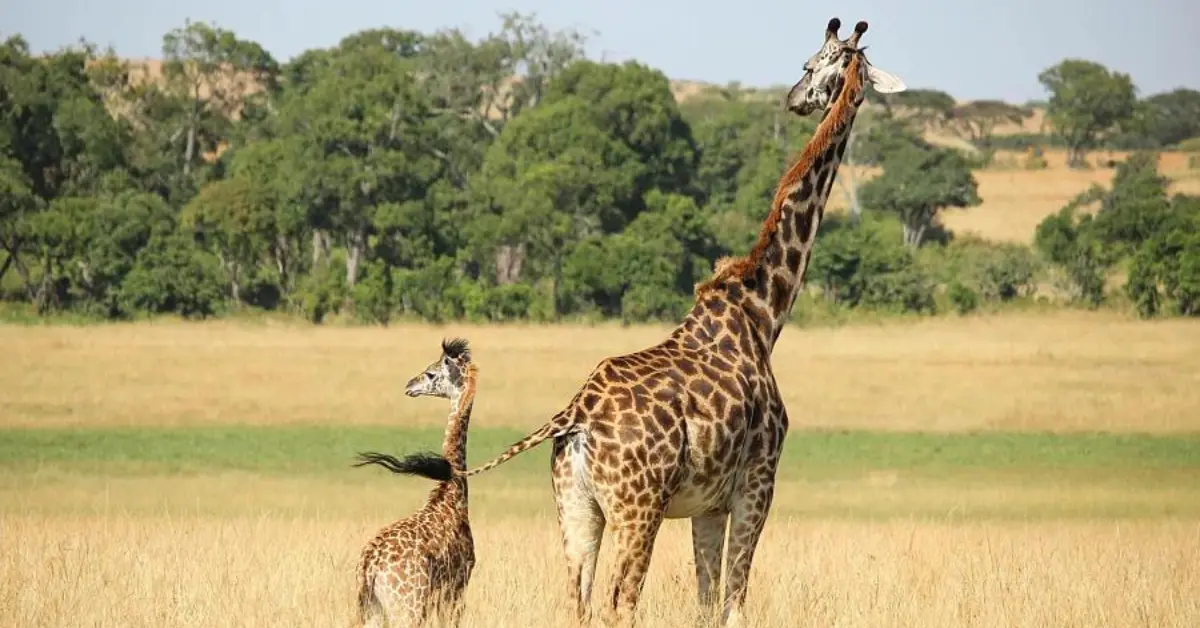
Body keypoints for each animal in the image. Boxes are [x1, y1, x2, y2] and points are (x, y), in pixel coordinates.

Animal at [350, 338, 475, 628]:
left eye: (430, 373)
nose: (409, 385)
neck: (451, 493)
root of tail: (369, 566)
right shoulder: (458, 585)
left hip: (371, 610)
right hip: (408, 607)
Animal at [398, 17, 902, 624]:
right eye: (810, 63)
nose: (795, 98)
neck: (764, 312)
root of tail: (574, 416)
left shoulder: (709, 503)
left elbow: (706, 601)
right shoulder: (758, 482)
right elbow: (734, 600)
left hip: (576, 507)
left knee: (578, 600)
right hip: (639, 508)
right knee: (621, 600)